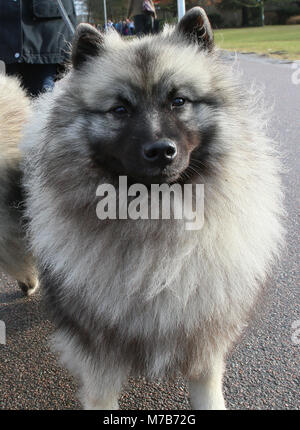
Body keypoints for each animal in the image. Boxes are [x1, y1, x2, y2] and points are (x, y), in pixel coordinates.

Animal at [1, 7, 284, 410]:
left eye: (178, 101)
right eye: (120, 109)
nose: (161, 150)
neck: (155, 217)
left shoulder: (202, 337)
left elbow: (208, 389)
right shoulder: (98, 353)